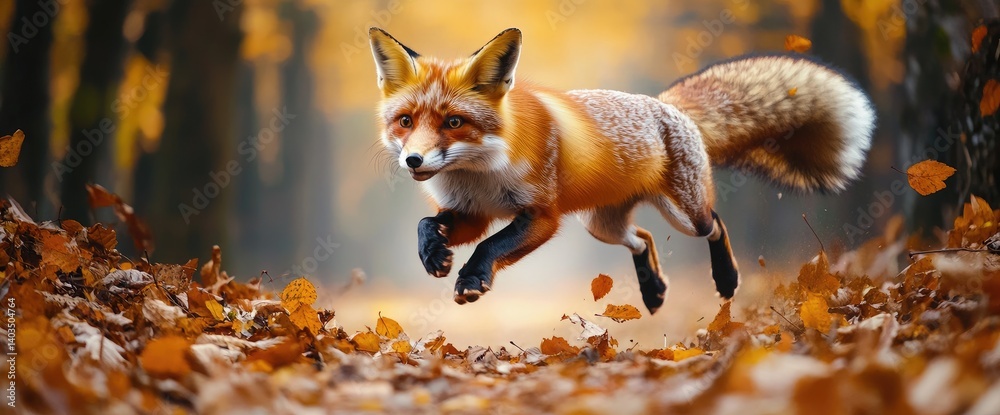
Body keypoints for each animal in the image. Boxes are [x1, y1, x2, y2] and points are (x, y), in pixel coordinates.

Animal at [368, 27, 875, 314]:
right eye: (405, 121)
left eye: (454, 122)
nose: (413, 161)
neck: (480, 173)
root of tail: (666, 105)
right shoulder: (472, 211)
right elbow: (426, 223)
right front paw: (433, 255)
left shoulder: (541, 215)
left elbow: (491, 246)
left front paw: (472, 279)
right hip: (602, 226)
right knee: (643, 239)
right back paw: (652, 293)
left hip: (683, 214)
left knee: (714, 224)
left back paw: (726, 279)